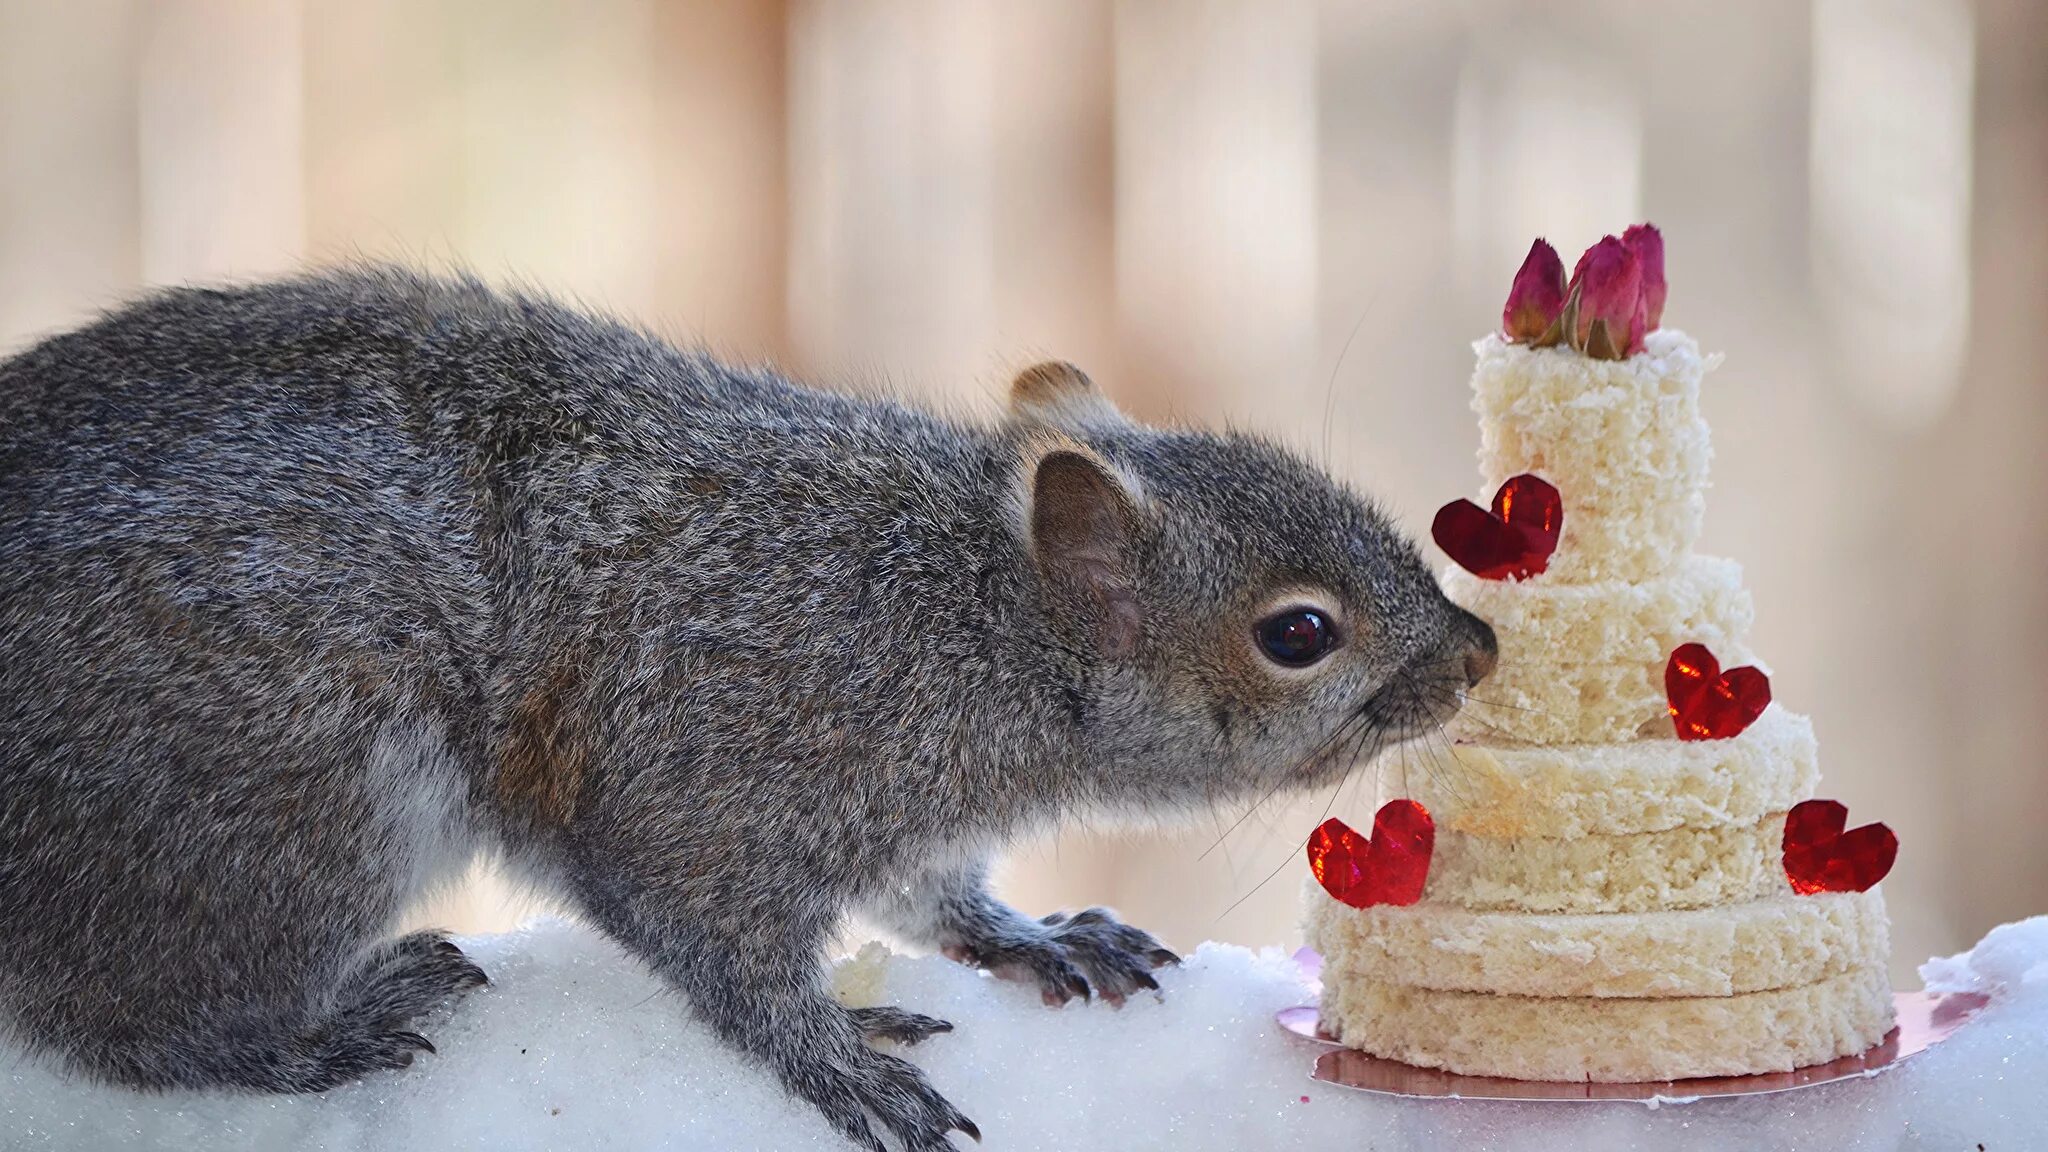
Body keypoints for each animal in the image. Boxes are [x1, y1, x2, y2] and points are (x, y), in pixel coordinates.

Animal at [0, 268, 1499, 1147]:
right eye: (1298, 633)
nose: (1478, 651)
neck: (964, 619)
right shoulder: (727, 763)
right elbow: (716, 947)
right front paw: (839, 1061)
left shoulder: (895, 812)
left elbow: (932, 893)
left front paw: (1028, 933)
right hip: (280, 795)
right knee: (129, 1019)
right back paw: (323, 1026)